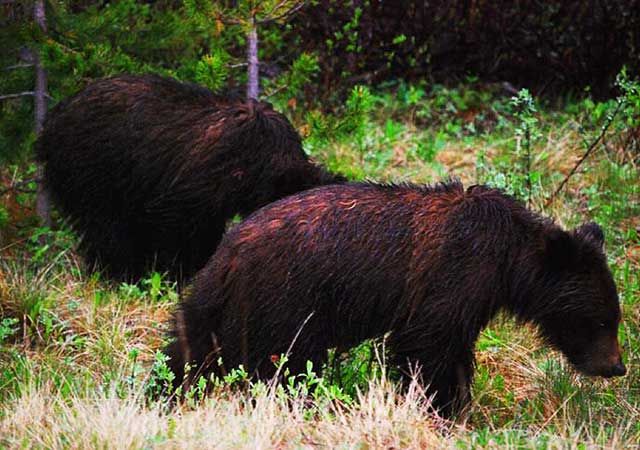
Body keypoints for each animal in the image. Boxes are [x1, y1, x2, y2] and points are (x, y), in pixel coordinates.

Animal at [35, 74, 344, 282]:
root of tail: (51, 122)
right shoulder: (201, 181)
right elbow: (181, 225)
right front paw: (182, 272)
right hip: (93, 170)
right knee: (107, 226)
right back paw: (119, 272)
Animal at [164, 180, 624, 418]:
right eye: (603, 320)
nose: (616, 366)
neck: (508, 262)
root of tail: (231, 249)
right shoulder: (454, 274)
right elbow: (428, 346)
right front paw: (442, 407)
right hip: (285, 299)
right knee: (285, 362)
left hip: (222, 301)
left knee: (190, 342)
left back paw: (168, 390)